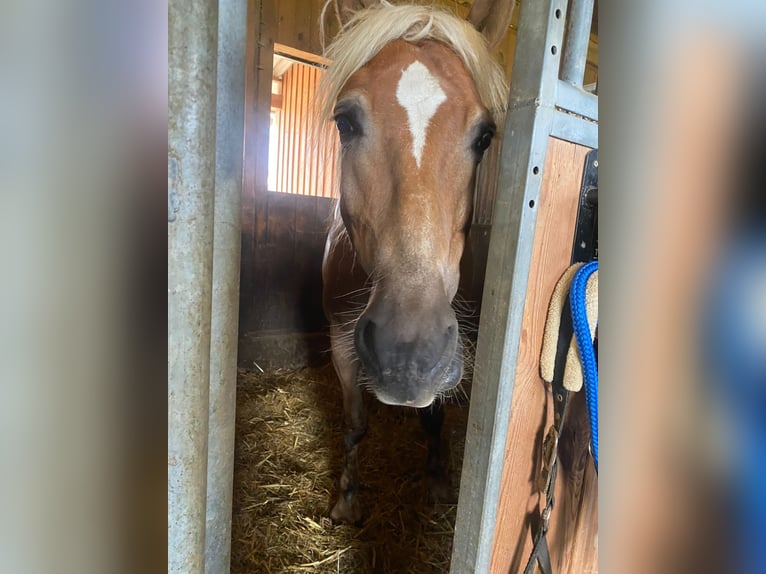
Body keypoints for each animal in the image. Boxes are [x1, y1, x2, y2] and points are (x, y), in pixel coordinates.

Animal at [318, 0, 516, 524]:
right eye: (345, 121)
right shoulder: (339, 340)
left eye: (484, 136)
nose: (407, 353)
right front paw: (347, 499)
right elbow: (354, 424)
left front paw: (440, 481)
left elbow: (434, 419)